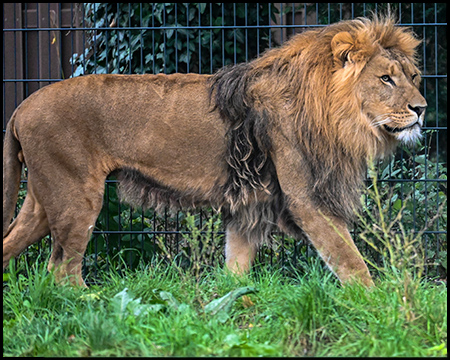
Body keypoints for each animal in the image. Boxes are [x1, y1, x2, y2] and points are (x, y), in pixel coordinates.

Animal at [3, 15, 426, 286]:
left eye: (414, 76)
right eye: (386, 79)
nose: (422, 109)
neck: (338, 116)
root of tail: (21, 107)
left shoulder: (249, 203)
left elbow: (236, 267)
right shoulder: (307, 199)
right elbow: (350, 260)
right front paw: (376, 308)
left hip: (42, 201)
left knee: (15, 245)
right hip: (76, 197)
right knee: (62, 270)